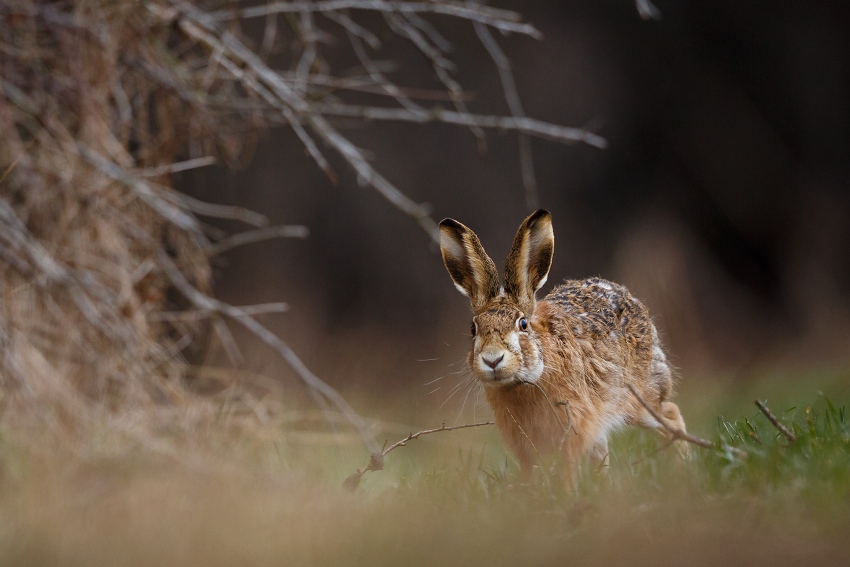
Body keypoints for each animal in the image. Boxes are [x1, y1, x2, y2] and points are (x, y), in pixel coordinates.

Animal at [439, 209, 689, 479]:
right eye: (473, 329)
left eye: (523, 324)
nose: (492, 359)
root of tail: (630, 297)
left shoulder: (573, 425)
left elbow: (567, 468)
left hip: (638, 398)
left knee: (671, 415)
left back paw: (683, 468)